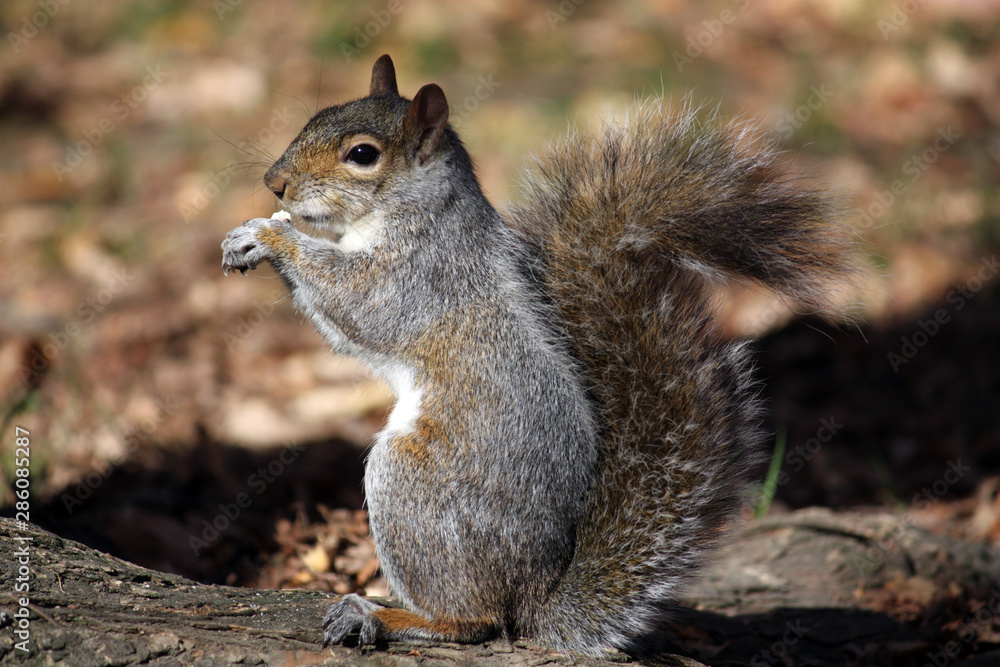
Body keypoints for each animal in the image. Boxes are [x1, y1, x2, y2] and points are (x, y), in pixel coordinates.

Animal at [221, 55, 855, 655]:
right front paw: (250, 235)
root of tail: (535, 595)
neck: (414, 211)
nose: (274, 183)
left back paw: (385, 615)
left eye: (362, 154)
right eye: (315, 117)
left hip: (414, 487)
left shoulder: (422, 277)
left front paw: (271, 235)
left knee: (476, 621)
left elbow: (358, 303)